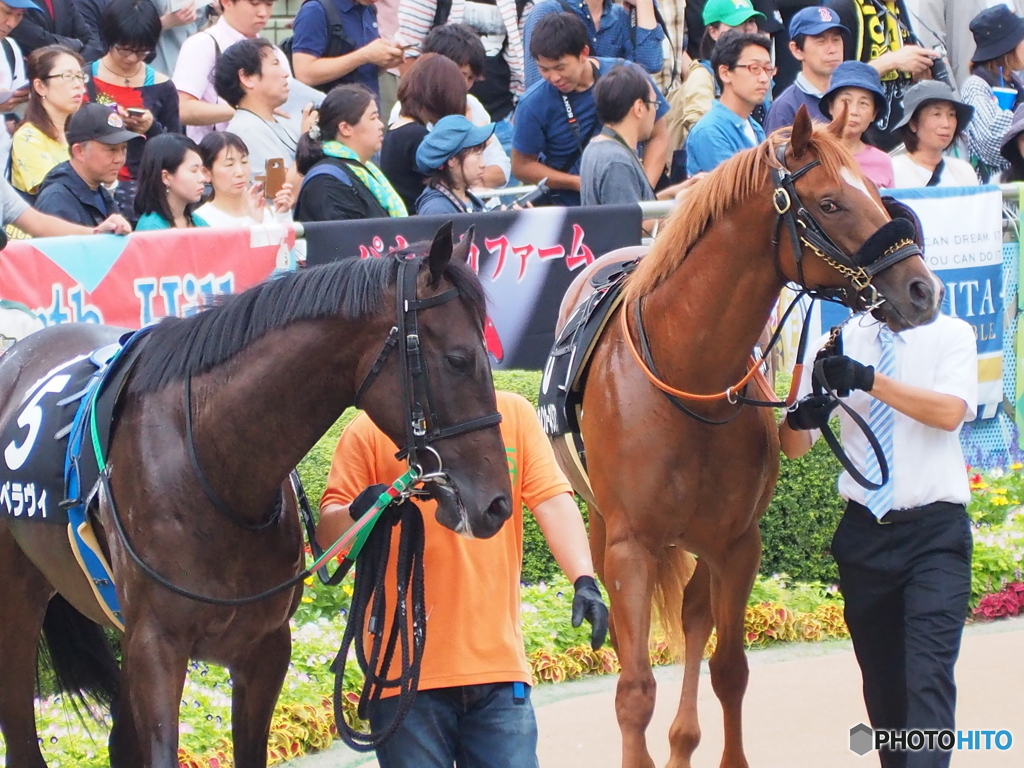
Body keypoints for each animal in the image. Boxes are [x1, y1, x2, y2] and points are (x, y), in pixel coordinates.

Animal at [0, 227, 512, 768]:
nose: (496, 502)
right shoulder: (156, 647)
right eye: (458, 359)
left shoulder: (263, 647)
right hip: (17, 599)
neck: (212, 467)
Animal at [552, 109, 942, 768]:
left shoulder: (738, 544)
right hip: (603, 526)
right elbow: (634, 687)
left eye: (872, 189)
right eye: (831, 202)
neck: (690, 377)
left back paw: (683, 742)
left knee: (694, 618)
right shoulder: (631, 544)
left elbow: (729, 668)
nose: (923, 290)